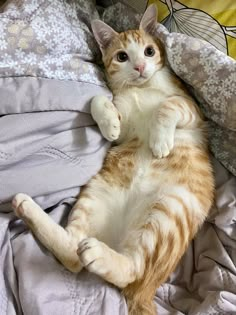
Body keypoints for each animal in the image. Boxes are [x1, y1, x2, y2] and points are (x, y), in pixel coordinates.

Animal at [12, 4, 214, 315]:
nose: (141, 67)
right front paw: (108, 124)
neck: (141, 88)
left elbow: (168, 105)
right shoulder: (123, 120)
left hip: (169, 211)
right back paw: (27, 208)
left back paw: (98, 253)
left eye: (149, 51)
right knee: (74, 256)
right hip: (96, 194)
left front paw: (160, 140)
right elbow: (97, 100)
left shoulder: (191, 107)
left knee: (132, 269)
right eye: (122, 56)